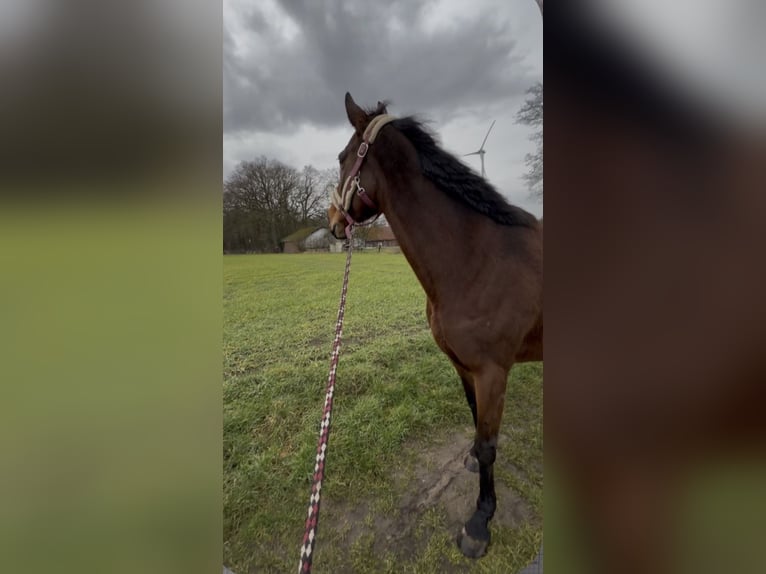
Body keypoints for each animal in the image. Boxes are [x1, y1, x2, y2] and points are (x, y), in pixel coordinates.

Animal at [327, 92, 543, 558]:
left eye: (341, 157)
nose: (333, 221)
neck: (475, 259)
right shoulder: (464, 367)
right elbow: (477, 427)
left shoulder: (493, 373)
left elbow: (488, 444)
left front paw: (479, 523)